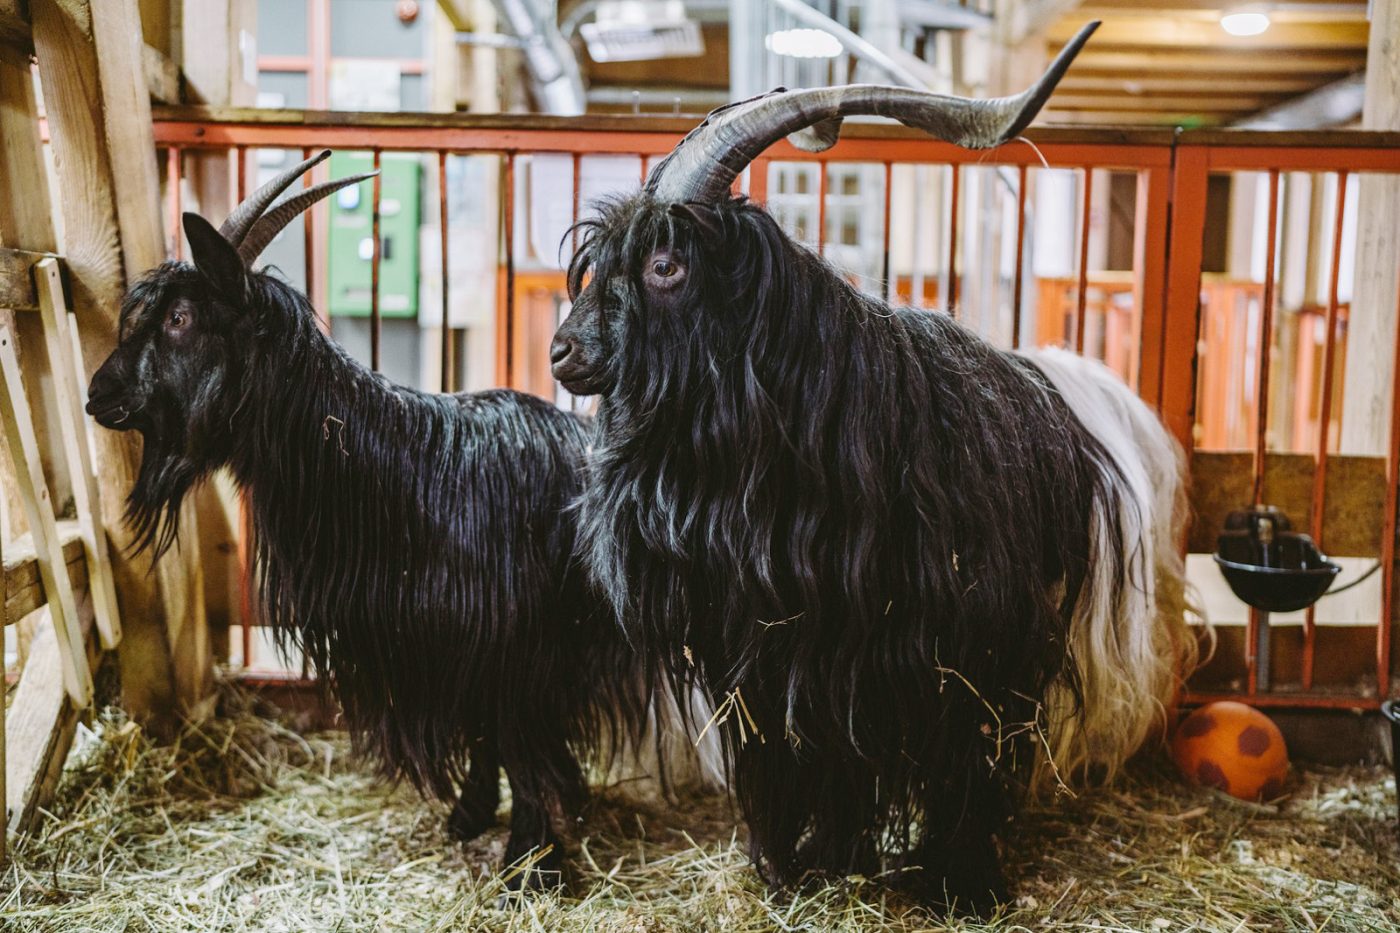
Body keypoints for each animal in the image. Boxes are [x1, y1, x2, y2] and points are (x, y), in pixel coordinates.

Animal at [87, 154, 649, 896]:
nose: (98, 393)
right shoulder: (456, 646)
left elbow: (522, 743)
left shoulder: (517, 645)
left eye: (181, 316)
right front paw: (471, 817)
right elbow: (486, 734)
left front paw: (531, 862)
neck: (389, 465)